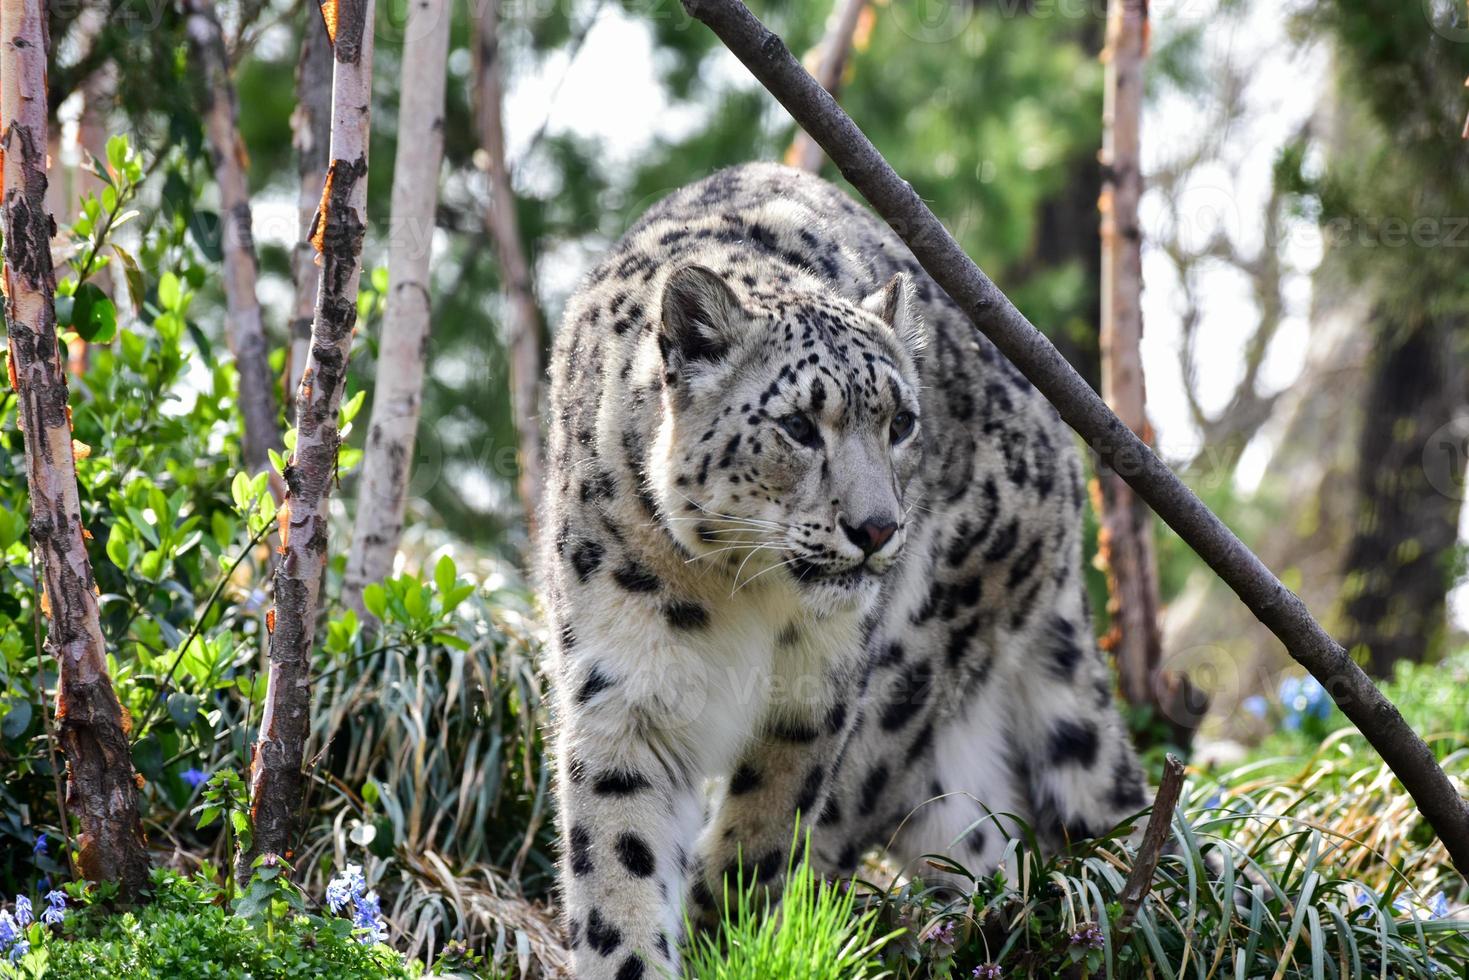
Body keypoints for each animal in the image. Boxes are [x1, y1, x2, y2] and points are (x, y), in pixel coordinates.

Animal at [540, 164, 1145, 975]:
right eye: (798, 426)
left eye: (902, 423)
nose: (876, 528)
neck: (733, 593)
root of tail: (1061, 453)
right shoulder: (624, 688)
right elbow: (619, 859)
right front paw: (636, 953)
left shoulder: (818, 698)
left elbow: (763, 830)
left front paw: (722, 933)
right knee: (977, 840)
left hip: (907, 677)